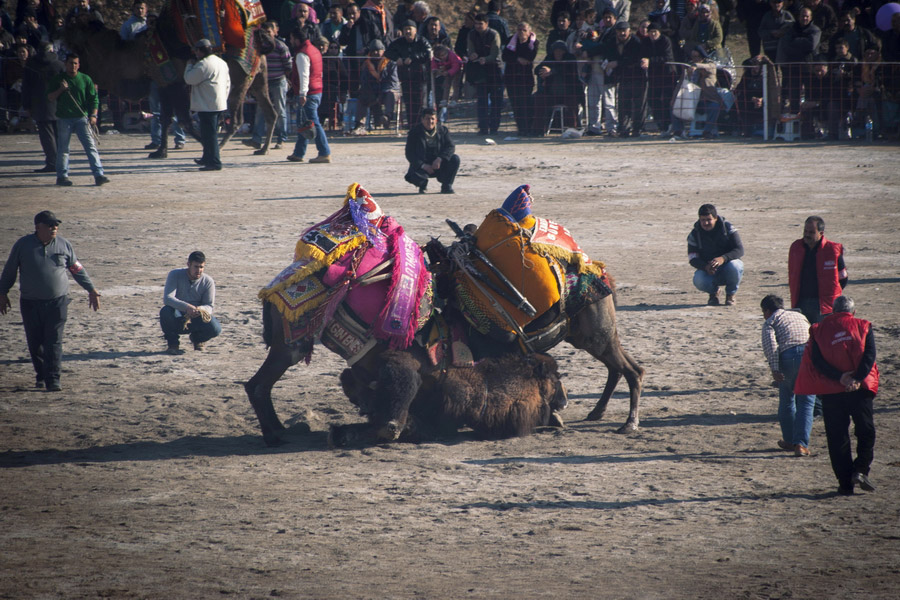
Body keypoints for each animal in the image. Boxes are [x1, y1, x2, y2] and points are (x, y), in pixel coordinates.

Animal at [63, 11, 276, 159]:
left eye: (74, 29)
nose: (61, 29)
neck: (139, 55)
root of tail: (261, 40)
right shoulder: (162, 83)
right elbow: (166, 117)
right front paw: (159, 151)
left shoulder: (176, 83)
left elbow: (183, 119)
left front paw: (206, 145)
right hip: (259, 80)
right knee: (270, 112)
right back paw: (262, 149)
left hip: (239, 82)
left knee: (238, 119)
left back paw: (225, 145)